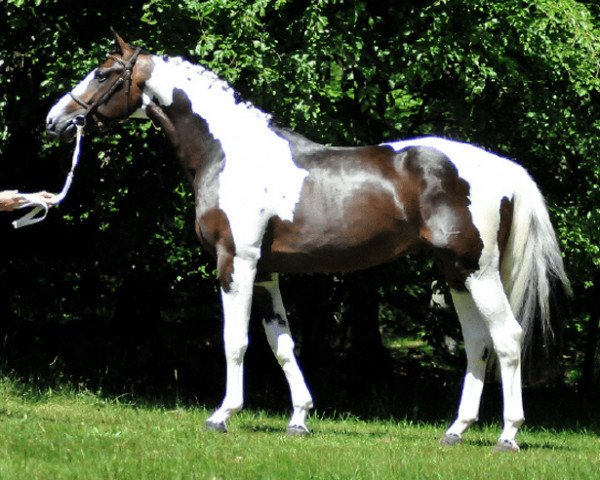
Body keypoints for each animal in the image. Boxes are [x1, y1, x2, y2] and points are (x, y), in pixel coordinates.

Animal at [44, 31, 568, 452]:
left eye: (102, 73)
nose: (55, 120)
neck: (229, 153)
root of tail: (503, 166)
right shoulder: (266, 272)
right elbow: (282, 344)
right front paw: (299, 419)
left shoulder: (236, 263)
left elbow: (236, 341)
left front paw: (222, 415)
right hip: (455, 273)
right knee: (478, 343)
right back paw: (456, 431)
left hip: (477, 270)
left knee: (508, 338)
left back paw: (508, 435)